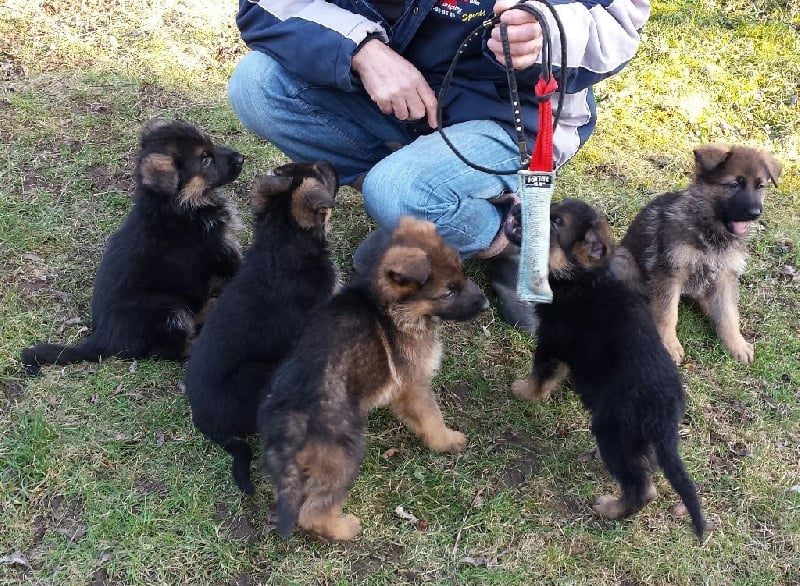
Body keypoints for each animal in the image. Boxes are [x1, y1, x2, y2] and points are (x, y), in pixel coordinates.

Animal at [21, 119, 244, 374]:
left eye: (211, 145)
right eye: (205, 159)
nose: (241, 158)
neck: (177, 204)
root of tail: (103, 339)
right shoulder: (222, 251)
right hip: (167, 311)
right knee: (168, 351)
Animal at [260, 217, 490, 540]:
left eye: (462, 277)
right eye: (448, 292)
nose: (485, 304)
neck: (390, 305)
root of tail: (288, 416)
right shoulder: (413, 386)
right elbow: (432, 417)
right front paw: (447, 441)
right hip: (344, 454)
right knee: (313, 511)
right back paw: (344, 527)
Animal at [612, 144, 780, 362]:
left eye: (760, 186)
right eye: (734, 184)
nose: (755, 213)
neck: (710, 233)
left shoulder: (725, 276)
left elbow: (729, 314)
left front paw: (737, 344)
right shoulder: (670, 271)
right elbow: (667, 312)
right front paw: (668, 344)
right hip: (623, 260)